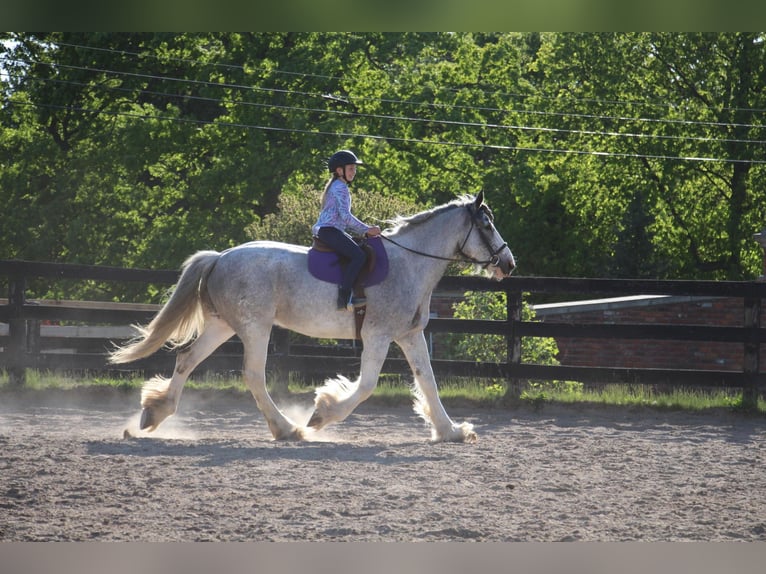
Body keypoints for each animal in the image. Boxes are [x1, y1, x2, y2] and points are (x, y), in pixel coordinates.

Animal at [109, 191, 516, 444]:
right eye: (488, 225)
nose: (509, 264)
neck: (409, 264)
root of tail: (220, 257)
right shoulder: (378, 336)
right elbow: (367, 386)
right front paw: (323, 413)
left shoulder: (410, 335)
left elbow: (429, 382)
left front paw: (451, 432)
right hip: (255, 328)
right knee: (252, 375)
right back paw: (288, 429)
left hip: (222, 326)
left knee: (186, 359)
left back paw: (154, 414)